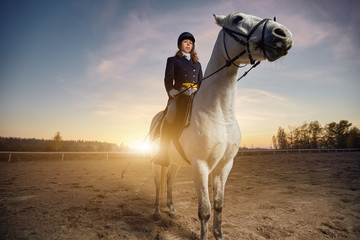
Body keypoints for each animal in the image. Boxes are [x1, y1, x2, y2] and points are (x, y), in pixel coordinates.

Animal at [149, 12, 292, 239]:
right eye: (237, 19)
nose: (283, 34)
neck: (219, 113)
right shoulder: (200, 165)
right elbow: (205, 210)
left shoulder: (224, 165)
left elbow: (218, 205)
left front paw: (218, 234)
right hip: (157, 161)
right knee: (157, 183)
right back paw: (156, 212)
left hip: (176, 163)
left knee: (169, 181)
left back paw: (171, 209)